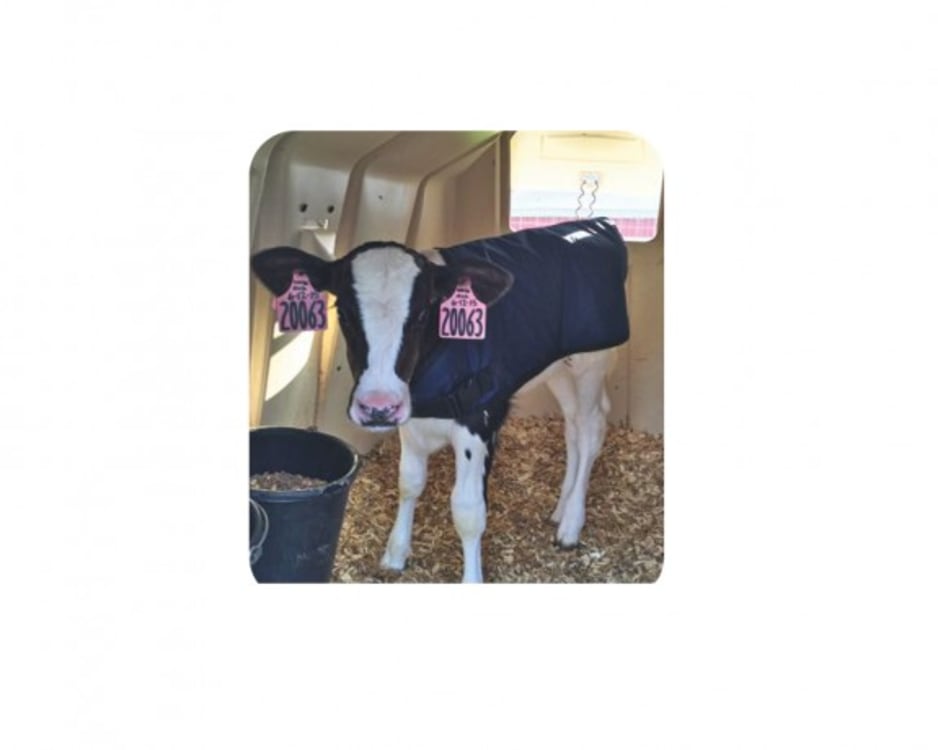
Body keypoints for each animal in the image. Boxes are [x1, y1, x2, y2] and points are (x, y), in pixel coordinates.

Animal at [251, 218, 630, 582]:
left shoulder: (479, 419)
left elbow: (468, 511)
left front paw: (471, 579)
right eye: (342, 312)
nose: (377, 406)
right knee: (573, 429)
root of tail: (597, 223)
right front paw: (395, 554)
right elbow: (409, 483)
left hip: (591, 363)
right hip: (560, 369)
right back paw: (560, 510)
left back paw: (571, 525)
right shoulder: (410, 414)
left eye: (423, 313)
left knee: (591, 430)